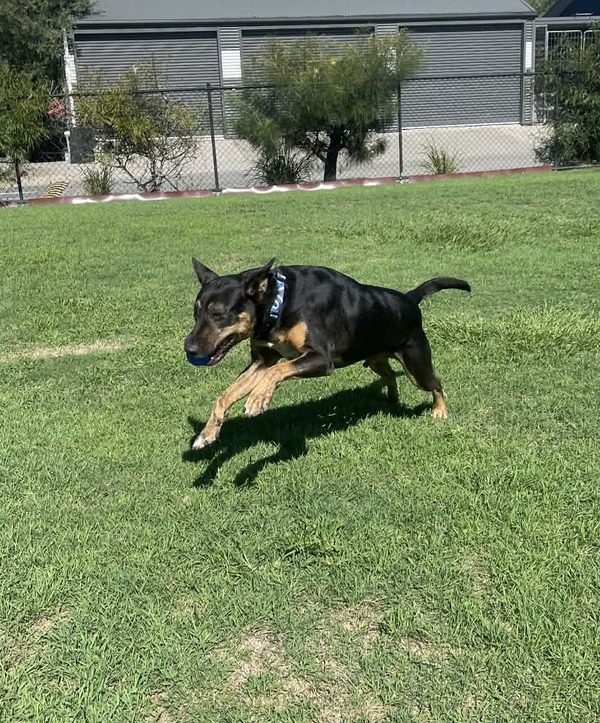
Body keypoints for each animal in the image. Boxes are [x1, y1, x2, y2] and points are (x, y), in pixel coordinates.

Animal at [184, 258, 470, 450]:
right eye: (196, 313)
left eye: (218, 314)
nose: (189, 348)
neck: (280, 302)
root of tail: (410, 298)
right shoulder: (262, 360)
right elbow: (226, 395)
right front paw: (207, 434)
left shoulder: (321, 359)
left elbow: (277, 371)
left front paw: (258, 399)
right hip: (374, 355)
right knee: (389, 374)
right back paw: (391, 397)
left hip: (415, 362)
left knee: (435, 383)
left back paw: (439, 411)